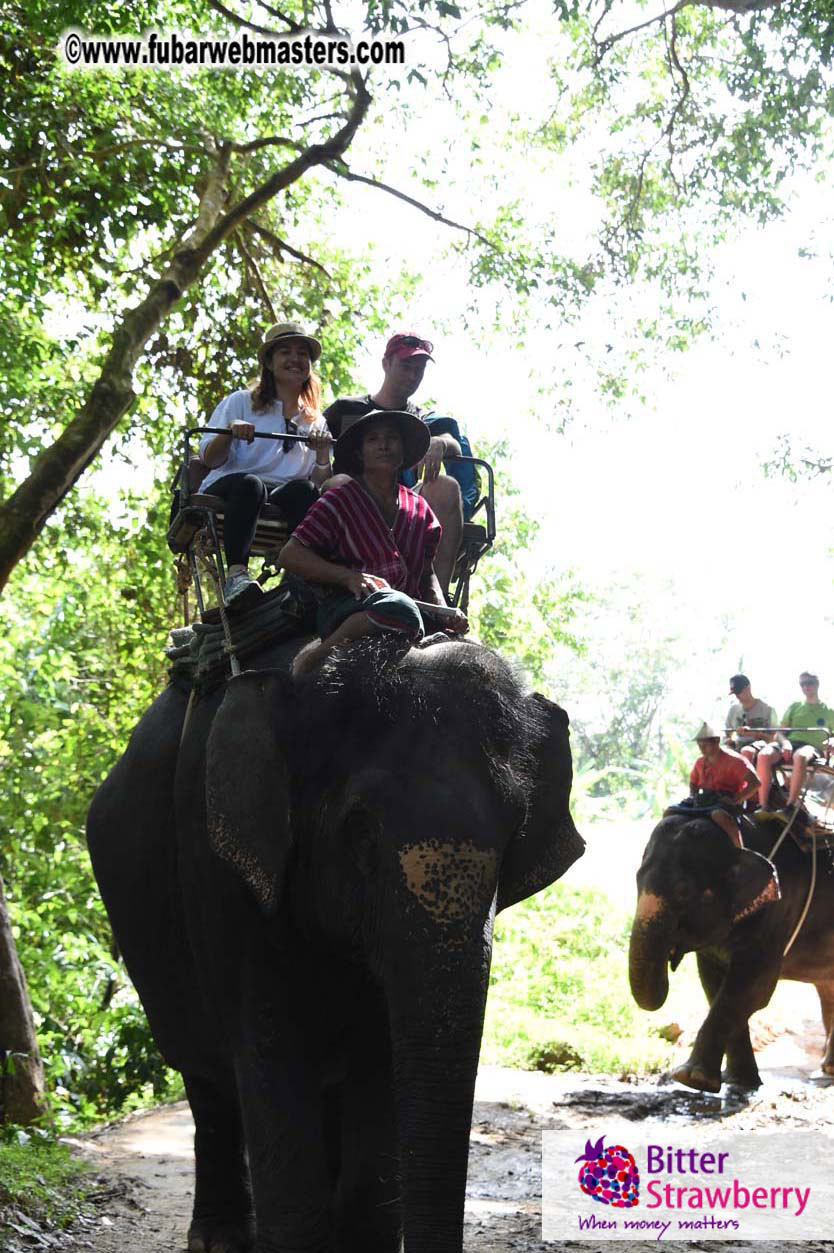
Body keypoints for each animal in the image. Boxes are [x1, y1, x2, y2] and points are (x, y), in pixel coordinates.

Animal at [86, 631, 583, 1253]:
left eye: (515, 831)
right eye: (361, 834)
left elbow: (381, 1059)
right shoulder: (219, 867)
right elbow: (271, 1051)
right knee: (203, 1074)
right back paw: (218, 1239)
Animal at [629, 810, 834, 1094]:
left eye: (684, 891)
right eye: (637, 879)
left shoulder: (779, 911)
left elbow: (753, 988)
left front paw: (691, 1078)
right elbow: (713, 985)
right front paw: (738, 1082)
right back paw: (829, 1068)